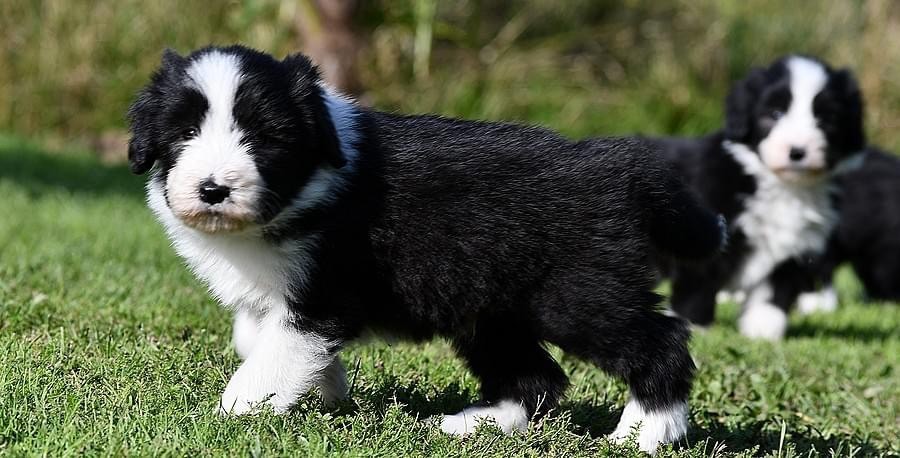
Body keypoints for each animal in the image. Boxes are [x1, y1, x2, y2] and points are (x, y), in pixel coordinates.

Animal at [126, 44, 728, 452]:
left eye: (264, 137)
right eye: (183, 133)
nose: (213, 189)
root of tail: (620, 166)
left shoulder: (325, 296)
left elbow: (272, 356)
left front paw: (236, 412)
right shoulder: (277, 299)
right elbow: (259, 339)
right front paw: (326, 390)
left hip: (580, 294)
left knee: (661, 340)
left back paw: (646, 432)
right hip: (492, 309)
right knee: (536, 378)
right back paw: (475, 425)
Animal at [648, 54, 864, 340]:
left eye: (826, 118)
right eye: (775, 114)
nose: (797, 151)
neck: (783, 188)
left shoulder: (796, 247)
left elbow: (773, 290)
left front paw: (763, 330)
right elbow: (698, 285)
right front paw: (692, 325)